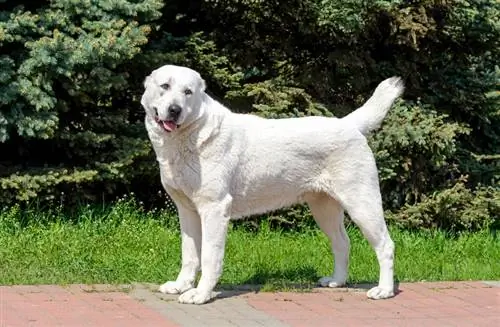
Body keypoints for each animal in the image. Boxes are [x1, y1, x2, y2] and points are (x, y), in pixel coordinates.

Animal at [141, 64, 406, 304]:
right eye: (165, 86)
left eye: (188, 92)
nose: (174, 110)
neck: (190, 135)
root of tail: (348, 124)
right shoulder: (187, 211)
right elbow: (189, 255)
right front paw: (181, 286)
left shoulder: (214, 209)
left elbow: (209, 257)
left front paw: (201, 294)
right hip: (324, 209)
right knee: (342, 243)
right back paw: (337, 281)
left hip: (362, 203)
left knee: (386, 245)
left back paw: (384, 290)